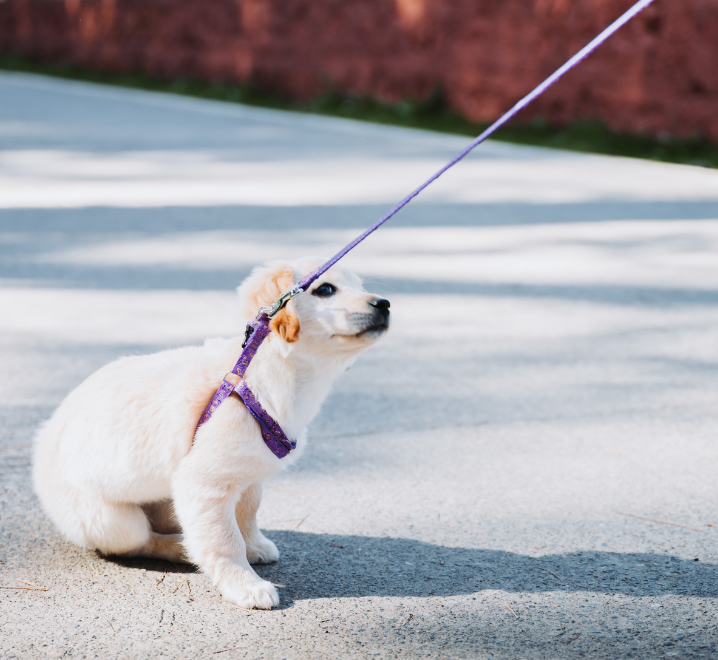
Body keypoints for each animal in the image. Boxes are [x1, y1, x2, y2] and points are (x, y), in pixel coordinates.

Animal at [32, 256, 394, 608]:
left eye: (360, 286)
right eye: (325, 289)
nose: (385, 303)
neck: (267, 377)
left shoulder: (247, 474)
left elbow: (248, 513)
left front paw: (254, 546)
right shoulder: (204, 483)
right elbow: (225, 539)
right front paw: (245, 585)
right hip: (112, 521)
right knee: (139, 541)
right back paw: (179, 548)